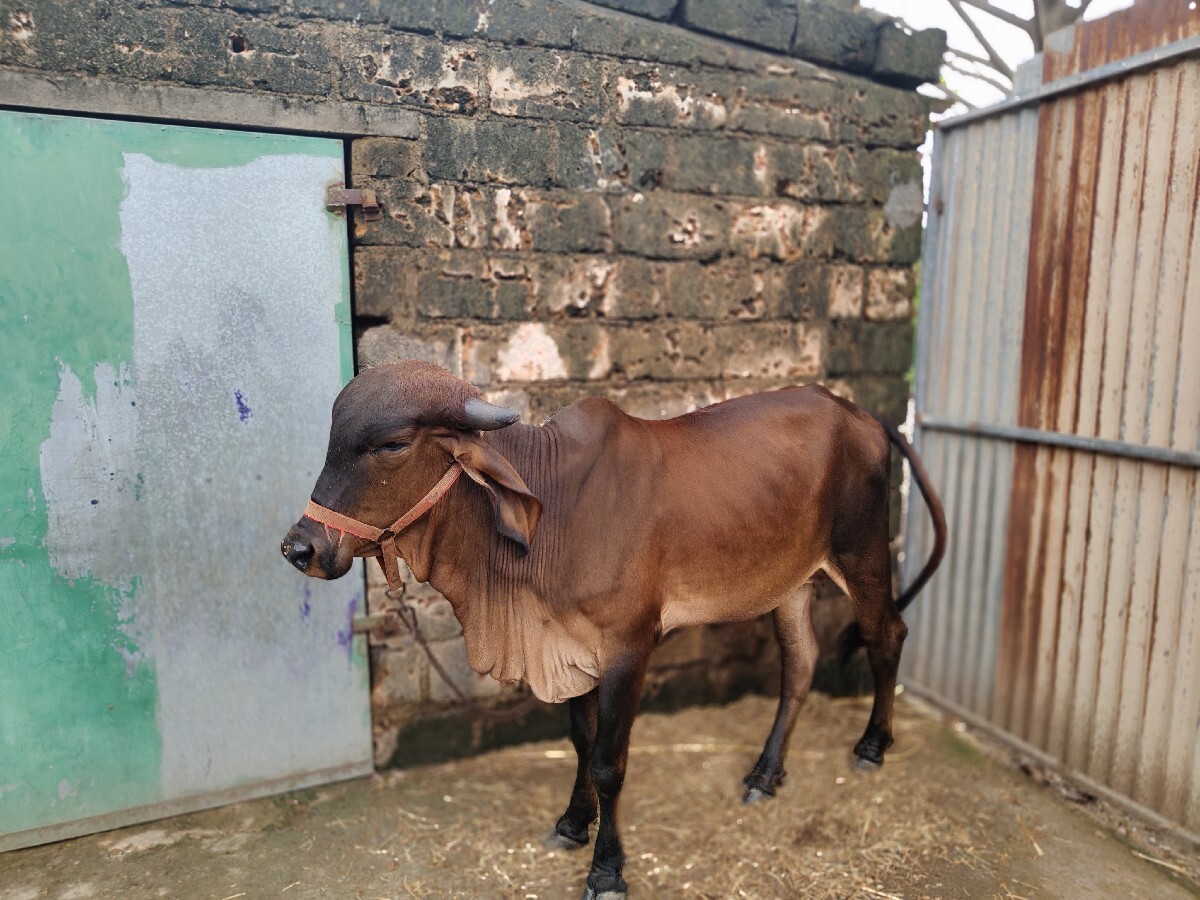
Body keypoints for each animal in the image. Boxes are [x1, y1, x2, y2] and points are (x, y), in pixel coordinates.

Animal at [281, 359, 946, 899]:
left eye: (392, 444)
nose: (300, 548)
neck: (552, 513)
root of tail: (861, 413)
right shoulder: (571, 647)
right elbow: (581, 740)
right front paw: (574, 824)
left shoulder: (629, 645)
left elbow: (609, 761)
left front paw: (606, 871)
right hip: (792, 581)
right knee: (801, 663)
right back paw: (764, 774)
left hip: (862, 552)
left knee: (888, 635)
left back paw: (871, 747)